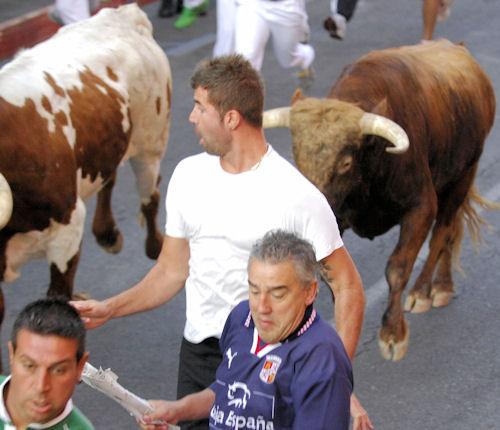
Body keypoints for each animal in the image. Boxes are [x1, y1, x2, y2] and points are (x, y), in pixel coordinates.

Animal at [262, 40, 496, 362]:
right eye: (298, 158)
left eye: (345, 163)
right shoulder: (335, 220)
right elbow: (335, 277)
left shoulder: (421, 207)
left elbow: (398, 267)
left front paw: (392, 334)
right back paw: (442, 286)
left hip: (463, 175)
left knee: (443, 232)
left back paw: (426, 292)